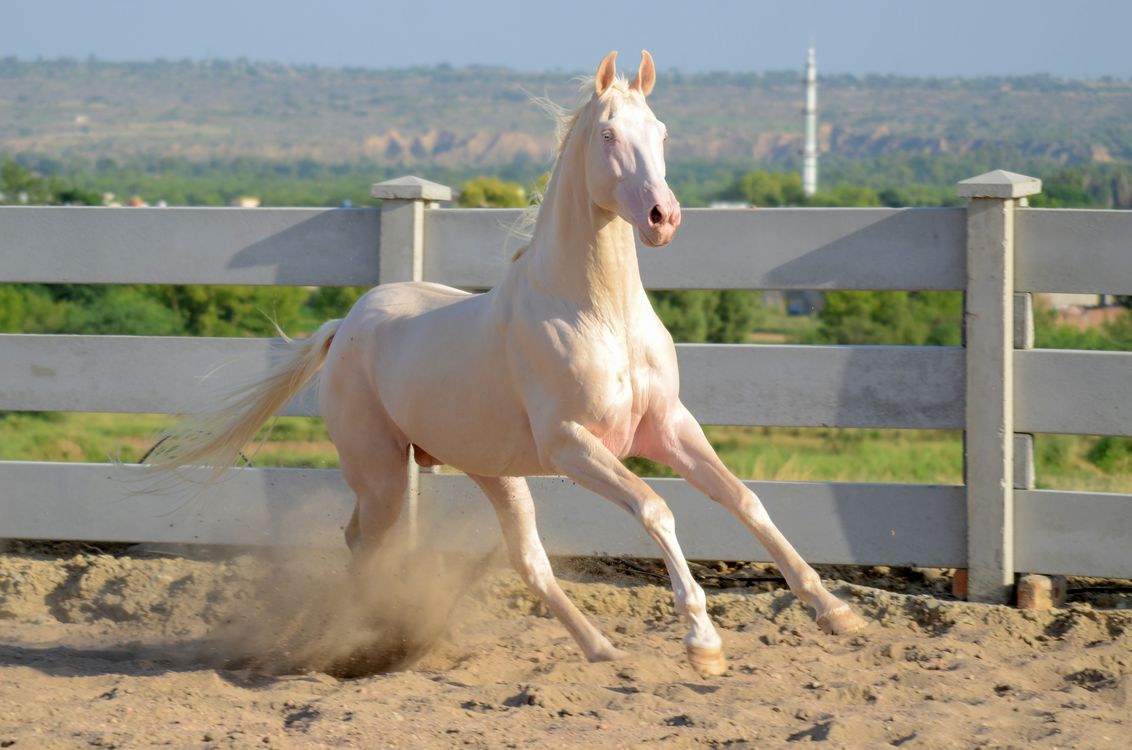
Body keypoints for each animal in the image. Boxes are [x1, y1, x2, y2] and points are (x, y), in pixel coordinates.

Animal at [151, 50, 867, 676]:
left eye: (661, 131)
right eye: (608, 133)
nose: (663, 217)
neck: (597, 314)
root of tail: (346, 324)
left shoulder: (666, 426)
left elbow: (745, 500)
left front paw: (835, 611)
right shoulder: (574, 446)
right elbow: (656, 509)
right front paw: (704, 643)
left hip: (494, 474)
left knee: (528, 562)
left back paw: (602, 649)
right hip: (381, 473)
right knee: (366, 543)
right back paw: (361, 642)